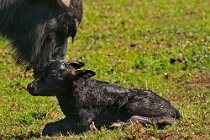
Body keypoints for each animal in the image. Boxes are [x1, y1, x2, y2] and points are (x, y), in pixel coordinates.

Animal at [27, 60, 181, 136]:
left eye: (53, 74)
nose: (30, 86)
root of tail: (175, 110)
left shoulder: (84, 120)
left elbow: (49, 128)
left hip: (132, 105)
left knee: (168, 120)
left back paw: (118, 124)